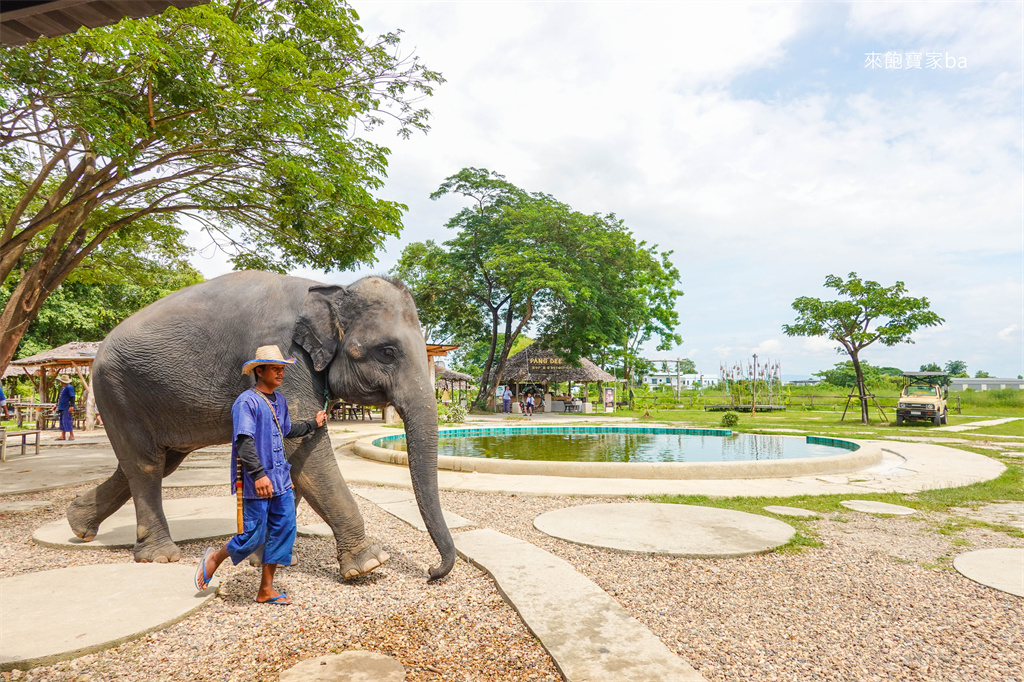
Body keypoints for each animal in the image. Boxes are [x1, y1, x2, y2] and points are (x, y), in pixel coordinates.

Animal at [66, 270, 455, 582]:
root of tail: (99, 348)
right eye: (387, 352)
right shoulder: (287, 355)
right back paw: (159, 556)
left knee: (158, 462)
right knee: (145, 465)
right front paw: (369, 565)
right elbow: (305, 452)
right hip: (115, 388)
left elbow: (295, 457)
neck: (331, 289)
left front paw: (270, 560)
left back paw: (79, 524)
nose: (432, 571)